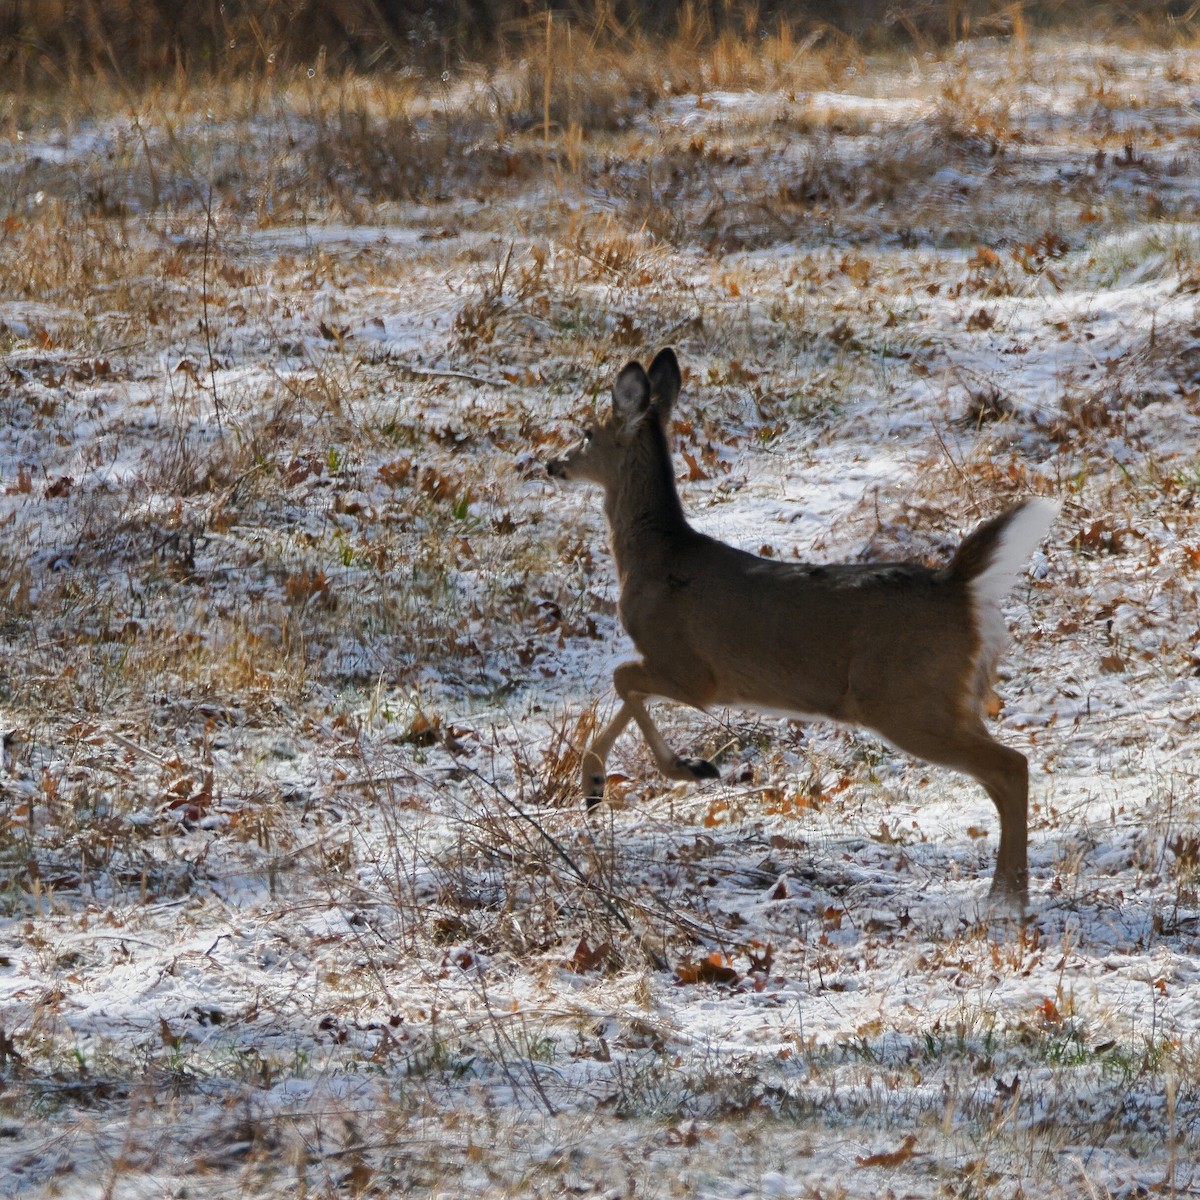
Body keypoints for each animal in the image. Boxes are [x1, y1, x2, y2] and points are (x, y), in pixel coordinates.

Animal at [547, 347, 1057, 908]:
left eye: (587, 432)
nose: (552, 463)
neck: (656, 560)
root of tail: (961, 586)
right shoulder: (673, 668)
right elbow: (626, 690)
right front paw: (594, 785)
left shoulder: (694, 670)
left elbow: (622, 678)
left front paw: (688, 768)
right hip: (953, 696)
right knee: (1000, 772)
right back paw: (1006, 892)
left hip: (906, 697)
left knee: (1010, 767)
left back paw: (1007, 899)